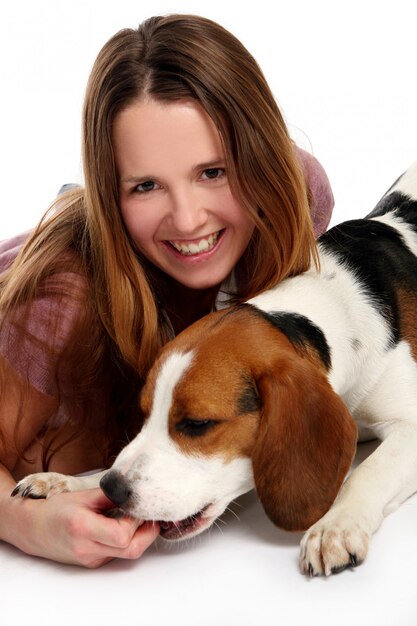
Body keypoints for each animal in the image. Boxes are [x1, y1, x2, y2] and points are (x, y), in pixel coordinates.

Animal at [11, 160, 416, 576]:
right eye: (145, 414)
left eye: (197, 424)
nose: (114, 489)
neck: (334, 307)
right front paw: (68, 482)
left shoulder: (409, 425)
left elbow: (368, 472)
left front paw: (336, 525)